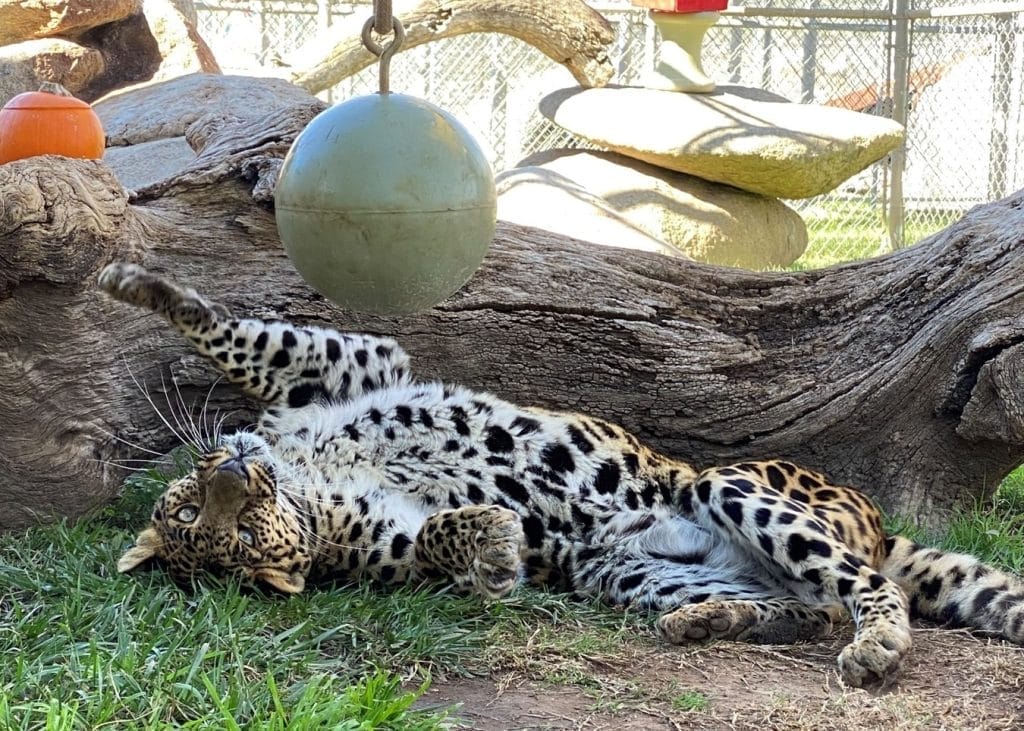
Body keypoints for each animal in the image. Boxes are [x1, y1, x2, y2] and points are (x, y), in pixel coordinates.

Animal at [100, 262, 1024, 689]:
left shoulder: (348, 370)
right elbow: (433, 543)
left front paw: (142, 286)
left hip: (725, 486)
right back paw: (716, 621)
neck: (307, 475)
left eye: (202, 512)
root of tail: (873, 516)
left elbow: (248, 336)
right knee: (812, 604)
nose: (232, 470)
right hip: (627, 571)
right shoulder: (383, 544)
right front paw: (494, 545)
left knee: (865, 587)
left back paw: (876, 644)